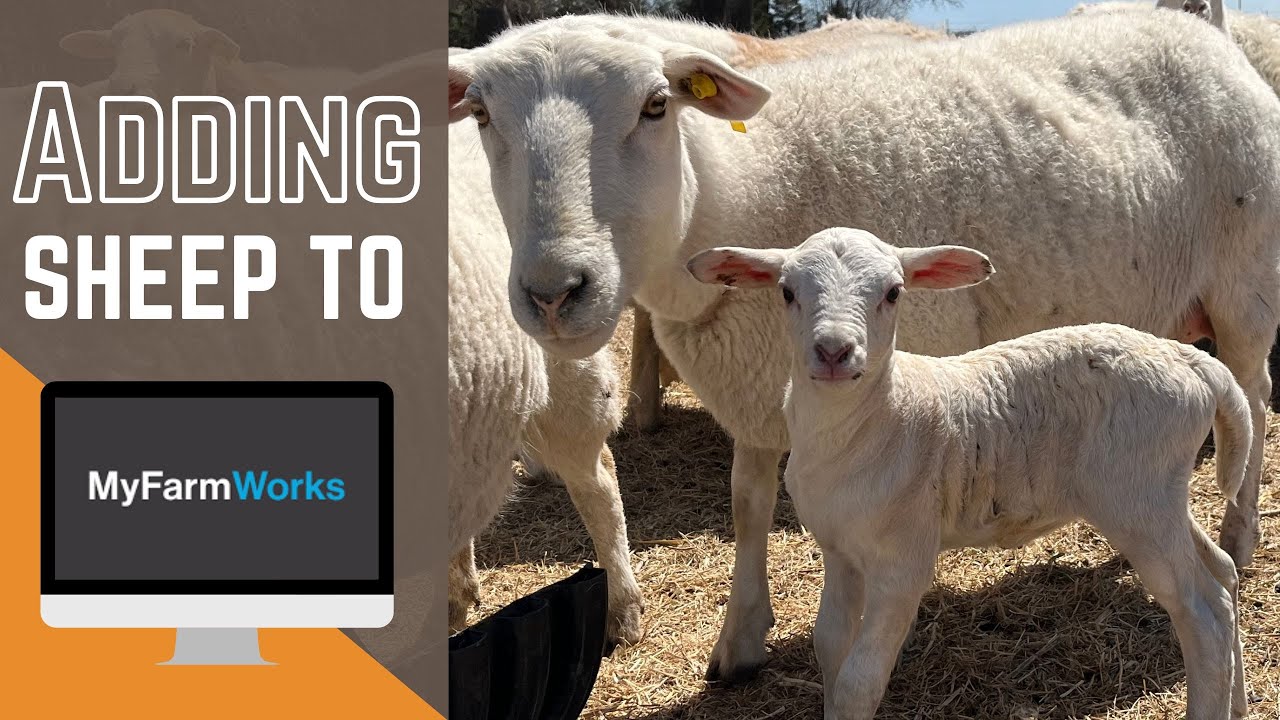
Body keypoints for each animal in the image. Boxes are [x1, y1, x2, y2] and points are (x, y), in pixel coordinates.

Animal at [687, 227, 1250, 720]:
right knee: (1222, 575)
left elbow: (858, 683)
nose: (833, 351)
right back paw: (1238, 702)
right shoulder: (840, 549)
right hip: (1160, 491)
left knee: (1202, 614)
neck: (870, 422)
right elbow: (830, 649)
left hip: (1136, 498)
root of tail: (1191, 360)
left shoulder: (904, 560)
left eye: (893, 292)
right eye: (786, 292)